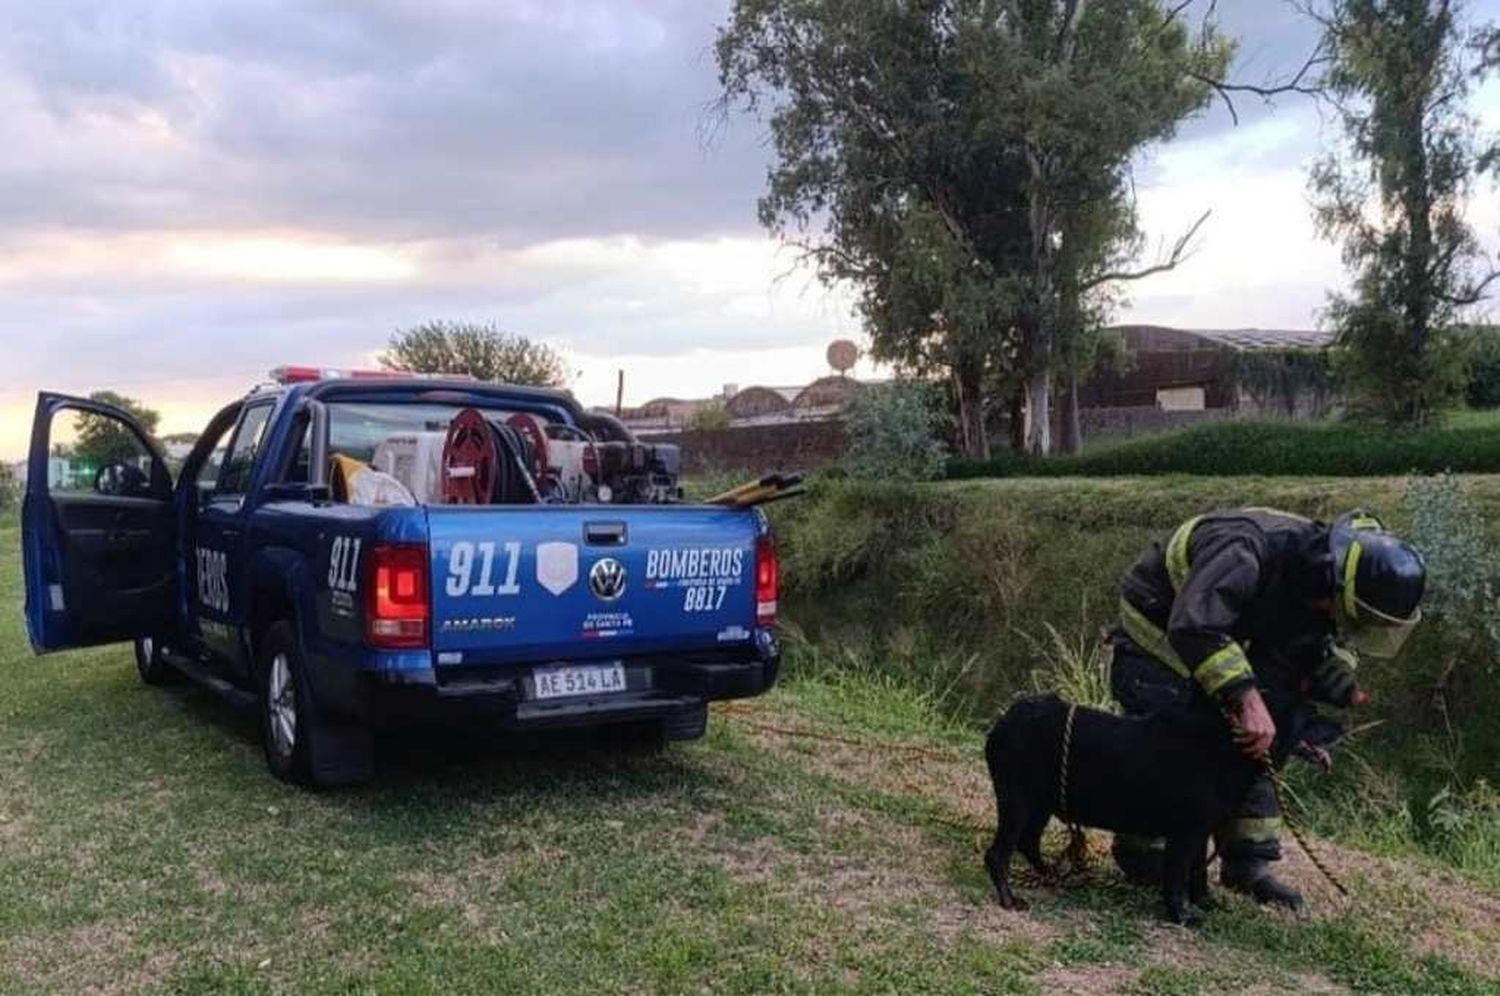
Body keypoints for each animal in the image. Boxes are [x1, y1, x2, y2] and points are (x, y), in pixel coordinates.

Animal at [984, 690, 1302, 924]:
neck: (1225, 744)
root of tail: (1006, 719)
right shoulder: (1185, 832)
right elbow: (1177, 875)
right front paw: (1181, 915)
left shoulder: (1199, 832)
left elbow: (1196, 872)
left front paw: (1202, 902)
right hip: (1018, 800)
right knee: (998, 855)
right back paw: (1009, 899)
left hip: (1039, 803)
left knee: (1027, 842)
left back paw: (1051, 874)